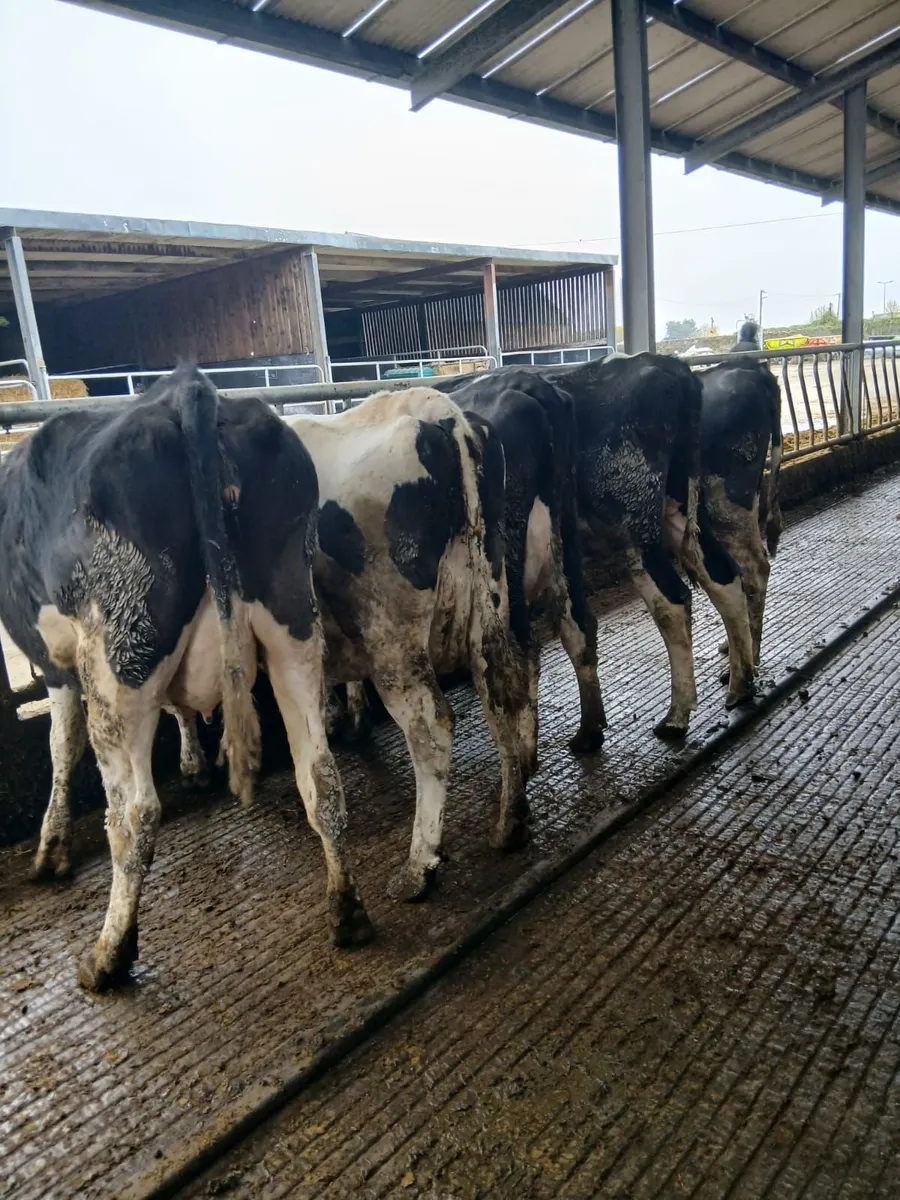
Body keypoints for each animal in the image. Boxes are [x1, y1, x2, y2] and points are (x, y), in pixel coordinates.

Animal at [0, 365, 372, 991]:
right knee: (321, 778)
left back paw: (109, 954)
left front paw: (51, 847)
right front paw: (197, 762)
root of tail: (187, 388)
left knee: (133, 814)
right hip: (293, 623)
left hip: (121, 658)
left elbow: (60, 746)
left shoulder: (59, 667)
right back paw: (347, 912)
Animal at [285, 387, 530, 896]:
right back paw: (510, 822)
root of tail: (442, 412)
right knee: (498, 692)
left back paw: (419, 866)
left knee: (431, 727)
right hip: (489, 594)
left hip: (393, 639)